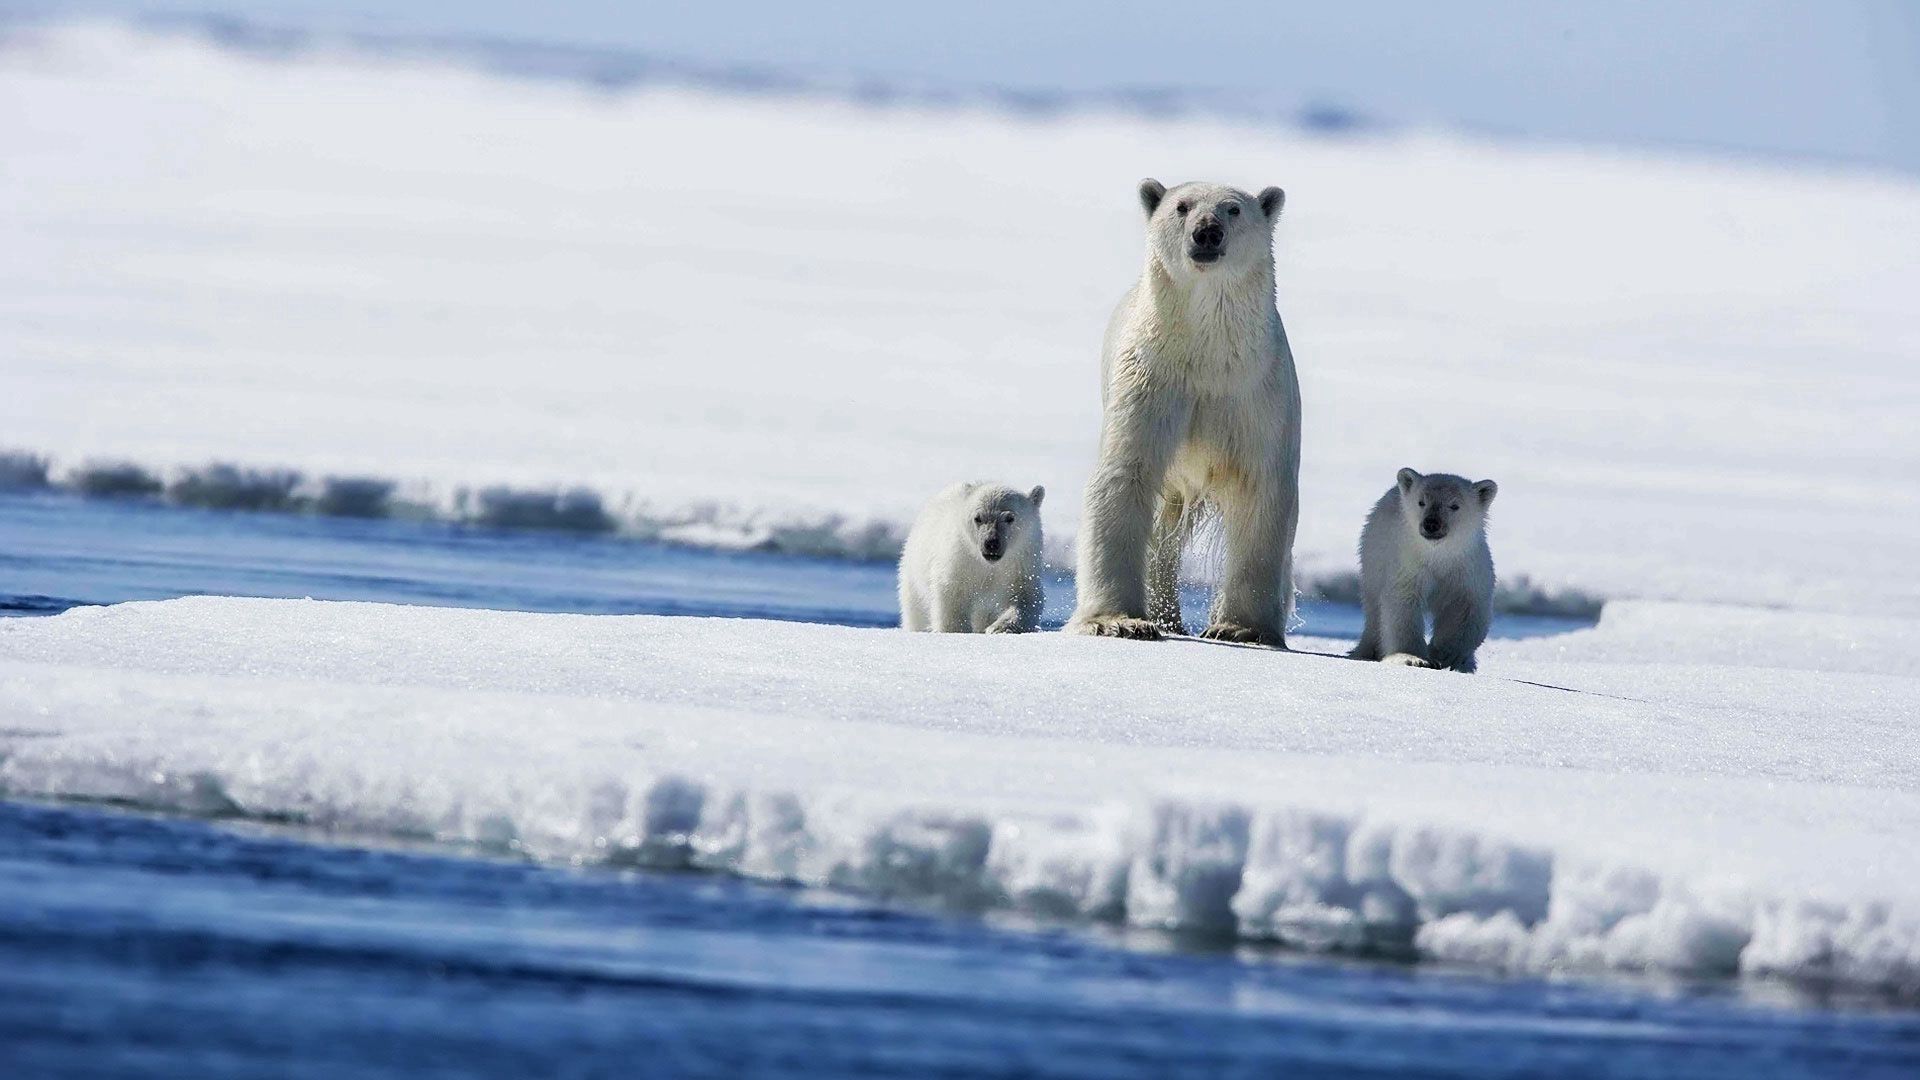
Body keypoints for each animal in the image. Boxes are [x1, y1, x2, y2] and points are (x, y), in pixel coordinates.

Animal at [1067, 179, 1305, 641]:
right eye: (1181, 206)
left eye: (1233, 209)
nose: (1207, 231)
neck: (1207, 354)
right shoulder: (1152, 380)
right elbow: (1125, 474)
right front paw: (1118, 621)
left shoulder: (1256, 395)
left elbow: (1261, 488)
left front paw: (1240, 627)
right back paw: (1166, 615)